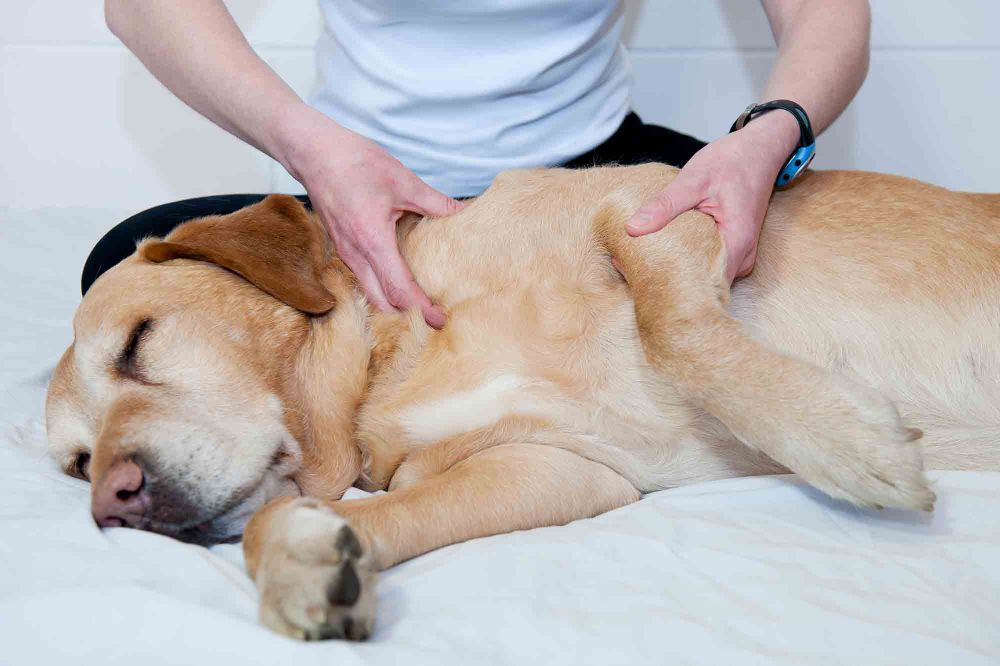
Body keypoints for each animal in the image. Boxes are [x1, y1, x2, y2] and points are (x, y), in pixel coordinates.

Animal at [45, 165, 1000, 640]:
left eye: (137, 342)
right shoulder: (558, 471)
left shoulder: (652, 205)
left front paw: (845, 442)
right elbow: (311, 519)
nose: (112, 503)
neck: (396, 359)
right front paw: (303, 566)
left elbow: (677, 330)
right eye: (76, 464)